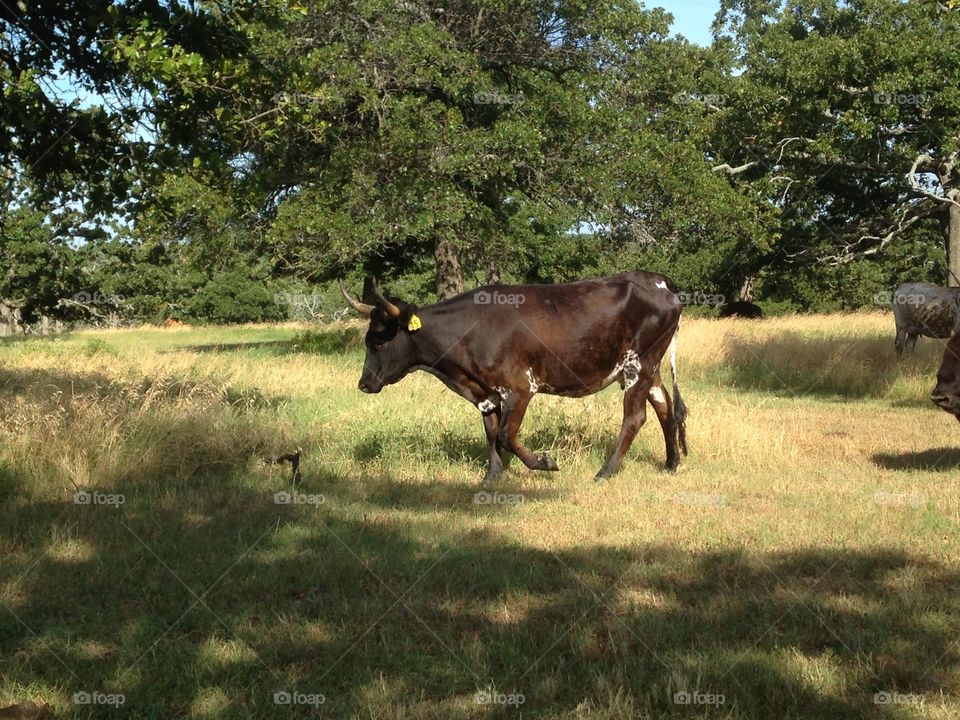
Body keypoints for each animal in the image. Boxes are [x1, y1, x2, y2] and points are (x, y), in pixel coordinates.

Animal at [342, 272, 688, 486]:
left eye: (379, 342)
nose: (364, 383)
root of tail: (658, 281)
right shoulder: (486, 392)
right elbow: (492, 432)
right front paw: (493, 475)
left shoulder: (520, 388)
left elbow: (507, 435)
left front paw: (545, 463)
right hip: (648, 368)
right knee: (664, 407)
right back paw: (671, 463)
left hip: (638, 365)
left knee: (635, 417)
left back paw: (606, 470)